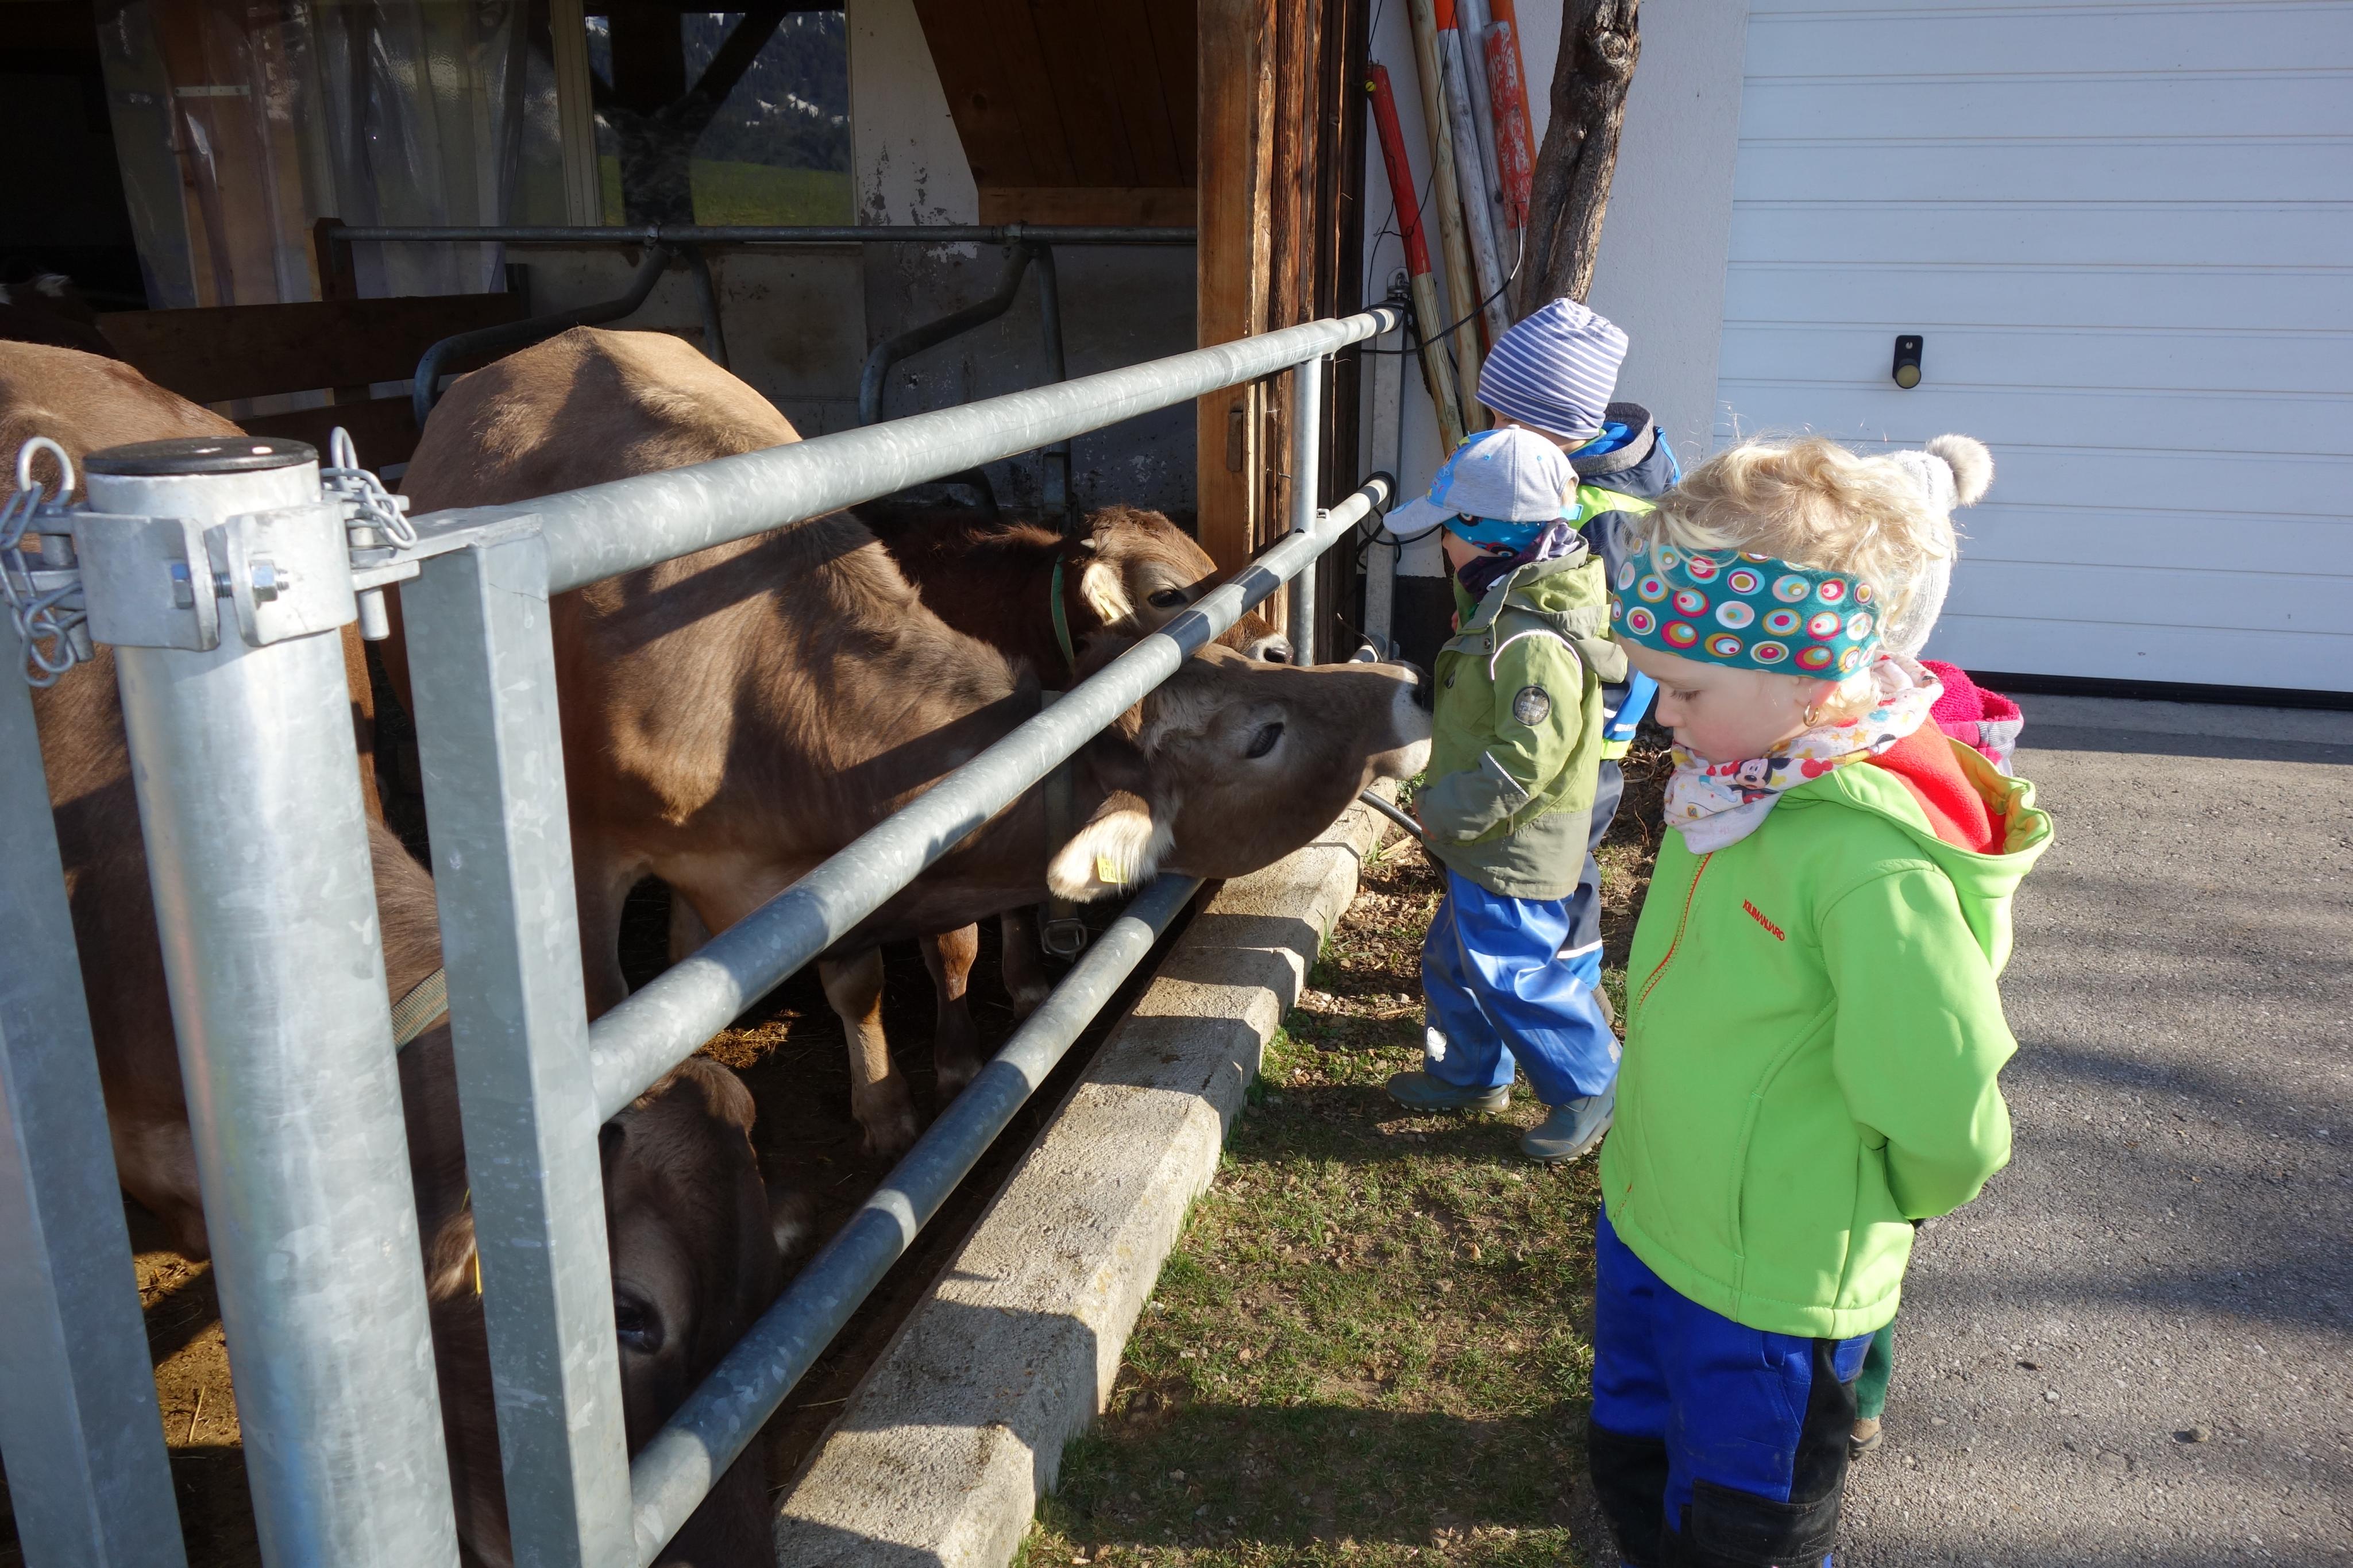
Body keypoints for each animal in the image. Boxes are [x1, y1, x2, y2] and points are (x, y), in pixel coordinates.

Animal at [396, 325, 1430, 1156]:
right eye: (1264, 734)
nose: (1407, 688)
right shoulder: (590, 857)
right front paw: (909, 1092)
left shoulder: (850, 865)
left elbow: (896, 967)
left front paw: (933, 1070)